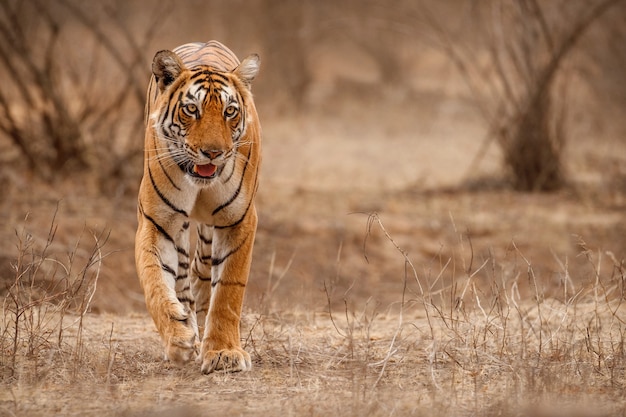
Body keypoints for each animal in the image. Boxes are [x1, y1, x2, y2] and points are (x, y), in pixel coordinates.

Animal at [134, 40, 260, 374]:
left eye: (230, 111)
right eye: (192, 109)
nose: (213, 152)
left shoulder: (239, 221)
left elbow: (228, 290)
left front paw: (223, 352)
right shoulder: (156, 222)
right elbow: (155, 281)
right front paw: (178, 338)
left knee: (202, 268)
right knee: (180, 275)